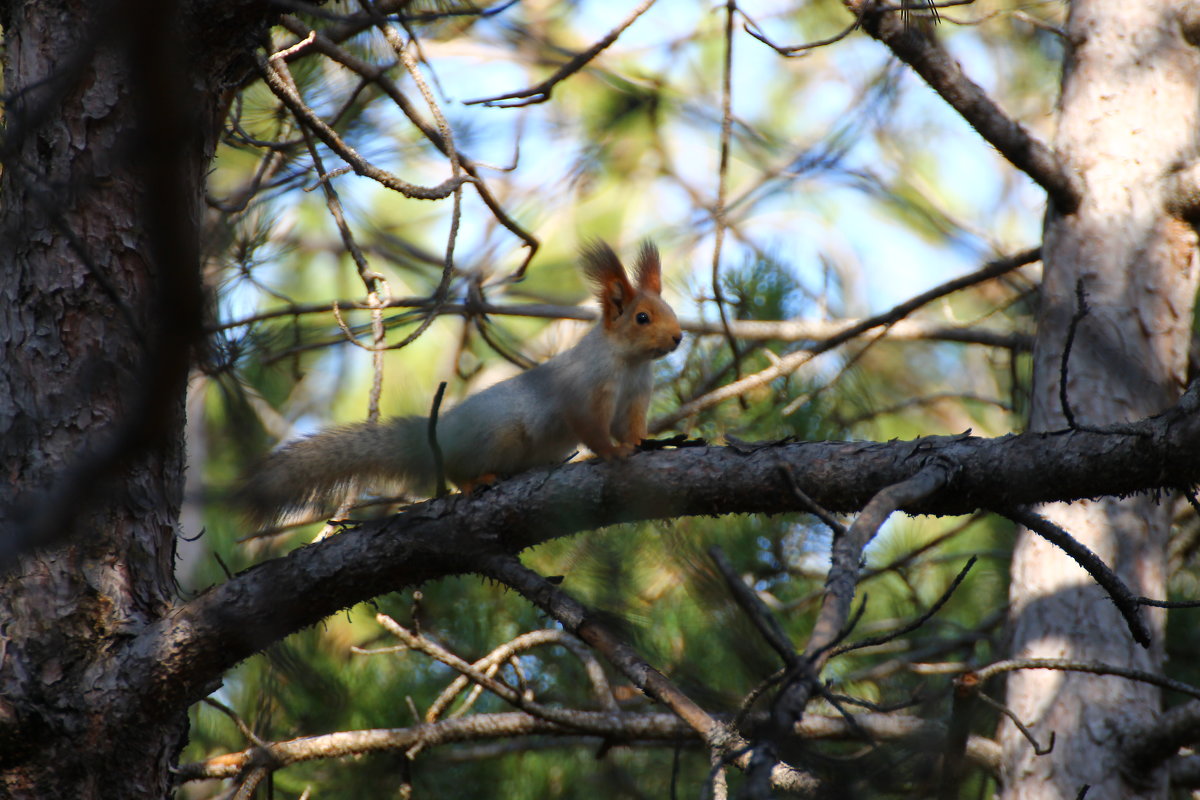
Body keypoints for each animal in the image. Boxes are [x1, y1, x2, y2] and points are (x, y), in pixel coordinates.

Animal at [236, 239, 686, 525]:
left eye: (670, 310)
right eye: (641, 318)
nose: (679, 338)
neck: (629, 364)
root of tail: (443, 432)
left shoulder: (636, 397)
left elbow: (633, 426)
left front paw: (642, 444)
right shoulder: (586, 390)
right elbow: (590, 427)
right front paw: (611, 453)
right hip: (499, 436)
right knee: (455, 472)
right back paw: (476, 481)